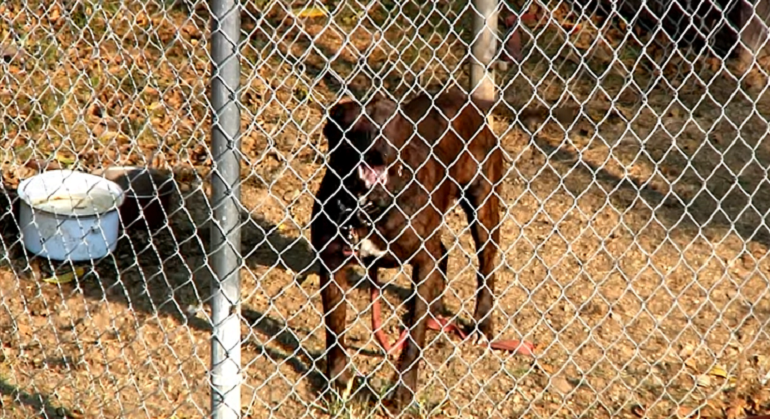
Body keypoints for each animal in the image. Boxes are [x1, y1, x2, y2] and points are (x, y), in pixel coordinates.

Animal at [308, 89, 532, 414]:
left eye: (389, 120)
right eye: (352, 122)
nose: (377, 142)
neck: (368, 208)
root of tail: (467, 101)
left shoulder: (421, 261)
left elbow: (414, 337)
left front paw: (402, 392)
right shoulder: (331, 264)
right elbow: (335, 330)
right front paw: (337, 383)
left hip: (483, 206)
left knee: (486, 265)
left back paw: (481, 324)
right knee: (443, 254)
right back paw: (436, 310)